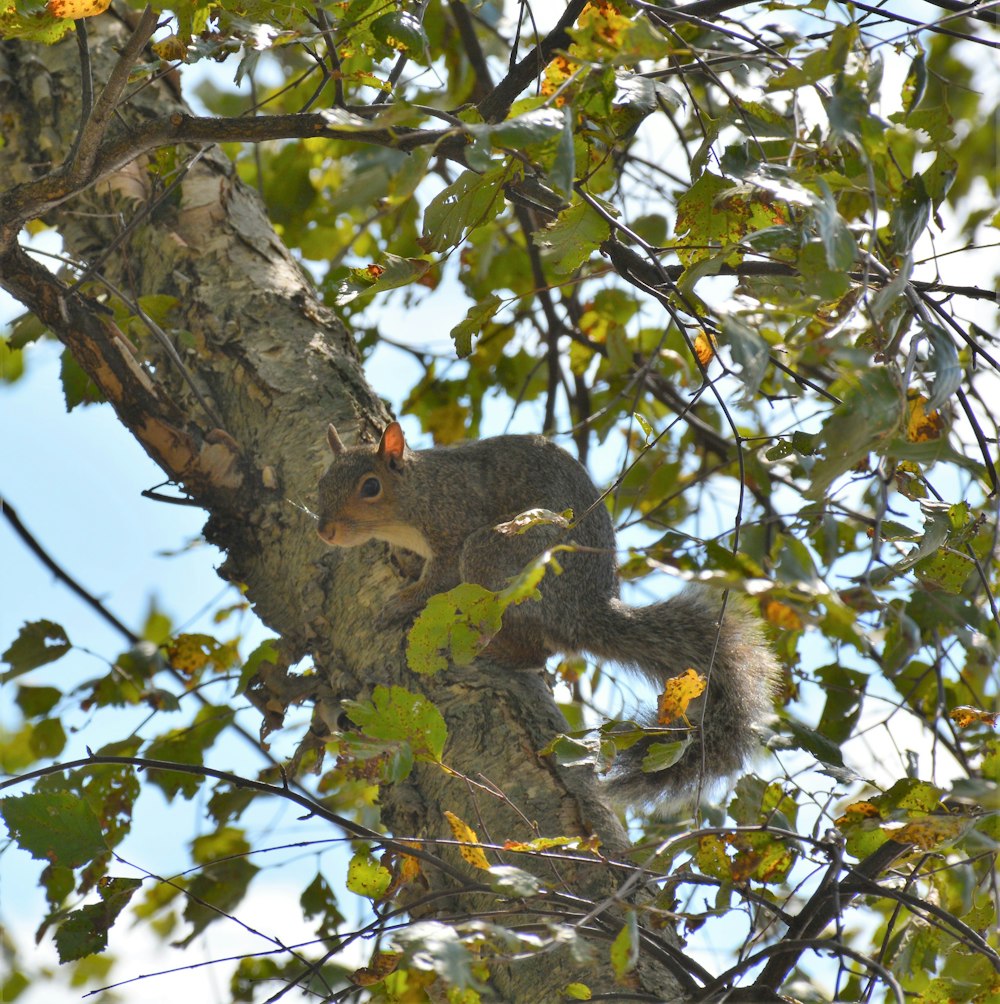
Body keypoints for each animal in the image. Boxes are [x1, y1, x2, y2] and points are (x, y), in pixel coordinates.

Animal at [321, 419, 783, 803]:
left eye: (370, 487)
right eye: (323, 482)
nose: (324, 531)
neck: (417, 494)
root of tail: (585, 610)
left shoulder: (454, 523)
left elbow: (438, 578)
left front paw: (401, 602)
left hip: (501, 555)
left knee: (535, 650)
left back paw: (494, 652)